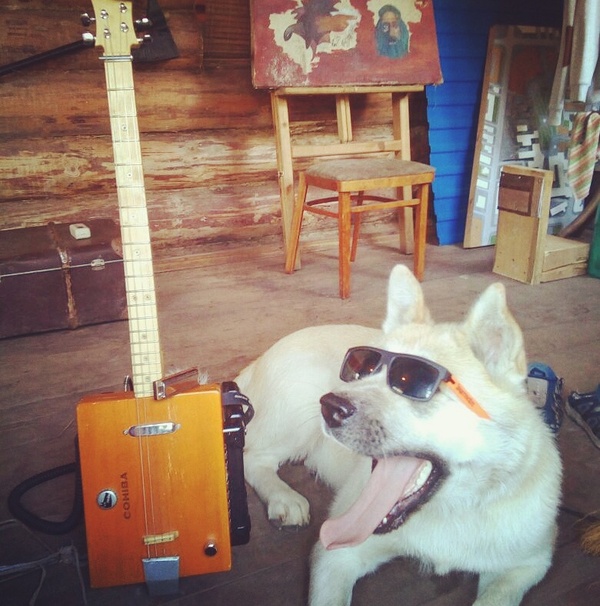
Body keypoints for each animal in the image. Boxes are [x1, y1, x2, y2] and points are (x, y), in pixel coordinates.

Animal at [236, 266, 564, 606]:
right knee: (252, 457)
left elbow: (495, 598)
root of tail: (257, 362)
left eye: (412, 382)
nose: (330, 407)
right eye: (363, 370)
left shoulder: (528, 564)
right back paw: (283, 497)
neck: (451, 510)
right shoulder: (336, 555)